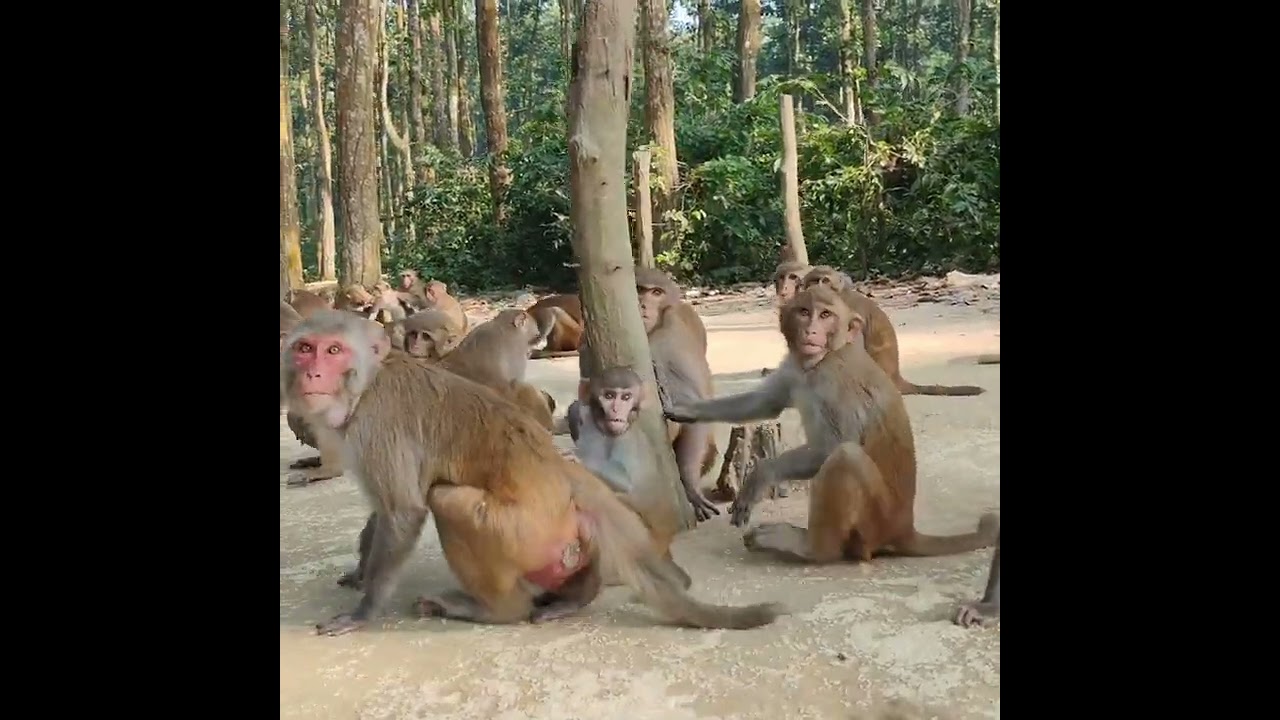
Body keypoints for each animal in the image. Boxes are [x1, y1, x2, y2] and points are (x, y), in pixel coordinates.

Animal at [281, 310, 784, 634]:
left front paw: (363, 611)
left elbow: (403, 509)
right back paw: (574, 598)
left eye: (333, 350)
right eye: (305, 349)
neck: (367, 381)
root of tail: (563, 483)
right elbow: (383, 510)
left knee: (446, 499)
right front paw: (360, 567)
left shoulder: (375, 422)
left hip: (523, 532)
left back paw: (495, 610)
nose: (311, 374)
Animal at [664, 285, 999, 563]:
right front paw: (687, 410)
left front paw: (760, 476)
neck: (820, 360)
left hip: (875, 520)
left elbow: (831, 446)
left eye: (826, 315)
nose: (811, 330)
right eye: (804, 311)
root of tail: (904, 527)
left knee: (845, 457)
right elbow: (764, 404)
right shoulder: (794, 368)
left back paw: (811, 549)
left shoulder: (834, 382)